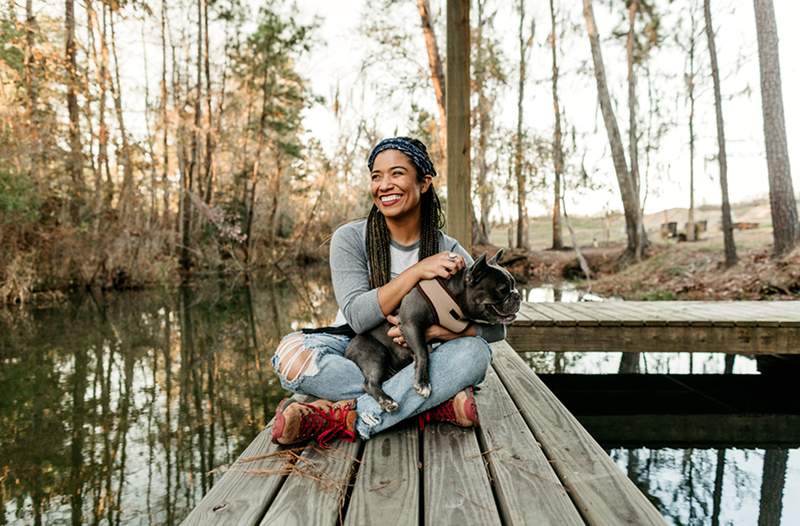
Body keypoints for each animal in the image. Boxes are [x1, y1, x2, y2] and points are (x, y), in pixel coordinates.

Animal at [342, 250, 520, 414]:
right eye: (502, 289)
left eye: (513, 285)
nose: (517, 295)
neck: (453, 295)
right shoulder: (411, 324)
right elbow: (423, 353)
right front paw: (422, 383)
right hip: (376, 353)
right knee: (369, 383)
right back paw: (387, 401)